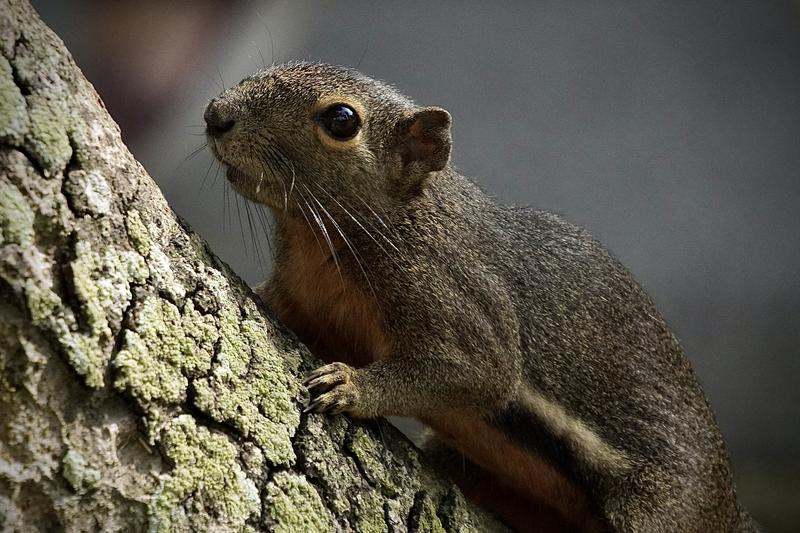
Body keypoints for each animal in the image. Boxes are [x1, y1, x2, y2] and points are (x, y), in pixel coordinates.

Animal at [204, 62, 758, 532]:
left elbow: (478, 372)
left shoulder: (456, 296)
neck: (321, 237)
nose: (215, 115)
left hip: (657, 511)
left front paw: (352, 387)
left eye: (341, 120)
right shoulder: (304, 299)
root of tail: (728, 511)